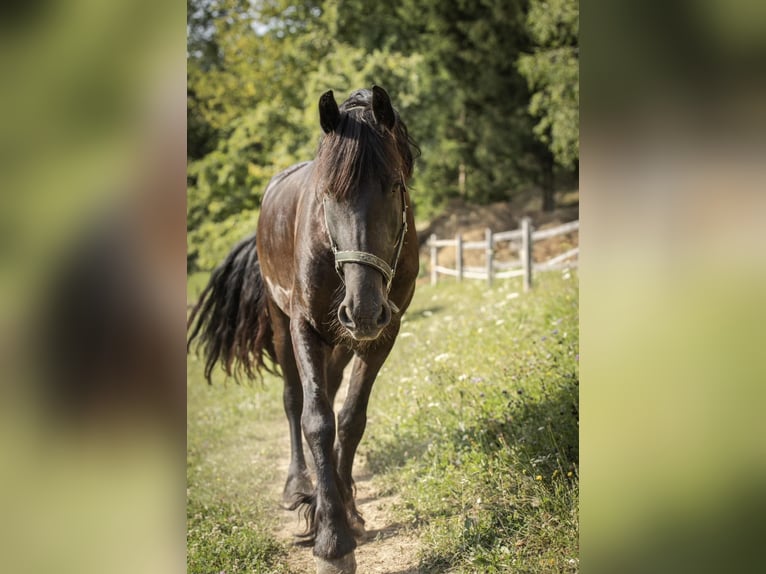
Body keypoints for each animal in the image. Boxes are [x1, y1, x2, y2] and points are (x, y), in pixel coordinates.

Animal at [187, 86, 419, 574]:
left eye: (395, 186)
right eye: (327, 194)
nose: (363, 309)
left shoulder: (383, 334)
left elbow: (349, 419)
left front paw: (347, 511)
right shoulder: (305, 328)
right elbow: (316, 421)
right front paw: (332, 541)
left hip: (344, 340)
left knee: (329, 390)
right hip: (285, 328)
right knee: (295, 400)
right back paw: (298, 485)